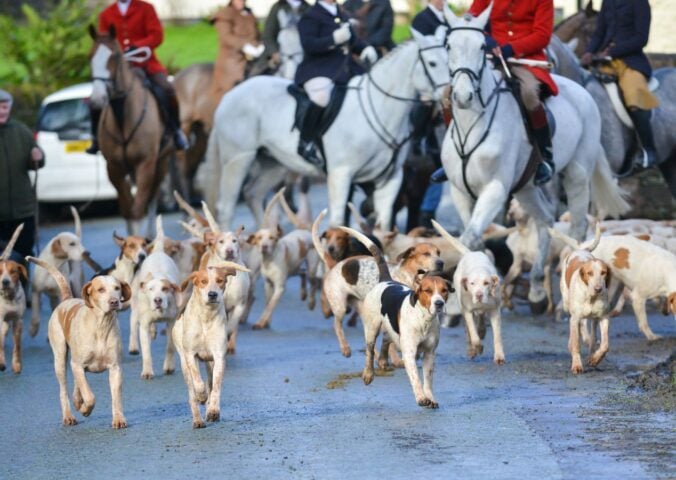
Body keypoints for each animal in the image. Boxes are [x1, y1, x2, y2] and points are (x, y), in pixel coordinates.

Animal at [206, 29, 448, 229]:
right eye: (433, 63)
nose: (448, 96)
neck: (381, 107)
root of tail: (230, 94)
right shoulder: (341, 174)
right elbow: (339, 222)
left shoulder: (390, 179)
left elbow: (385, 224)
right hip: (238, 159)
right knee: (226, 208)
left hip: (273, 164)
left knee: (253, 195)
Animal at [438, 9, 628, 314]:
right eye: (448, 45)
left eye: (481, 47)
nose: (463, 96)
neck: (471, 126)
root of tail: (582, 91)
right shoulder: (460, 193)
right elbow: (469, 240)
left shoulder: (494, 190)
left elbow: (467, 239)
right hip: (526, 189)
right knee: (545, 220)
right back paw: (537, 288)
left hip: (576, 175)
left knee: (576, 227)